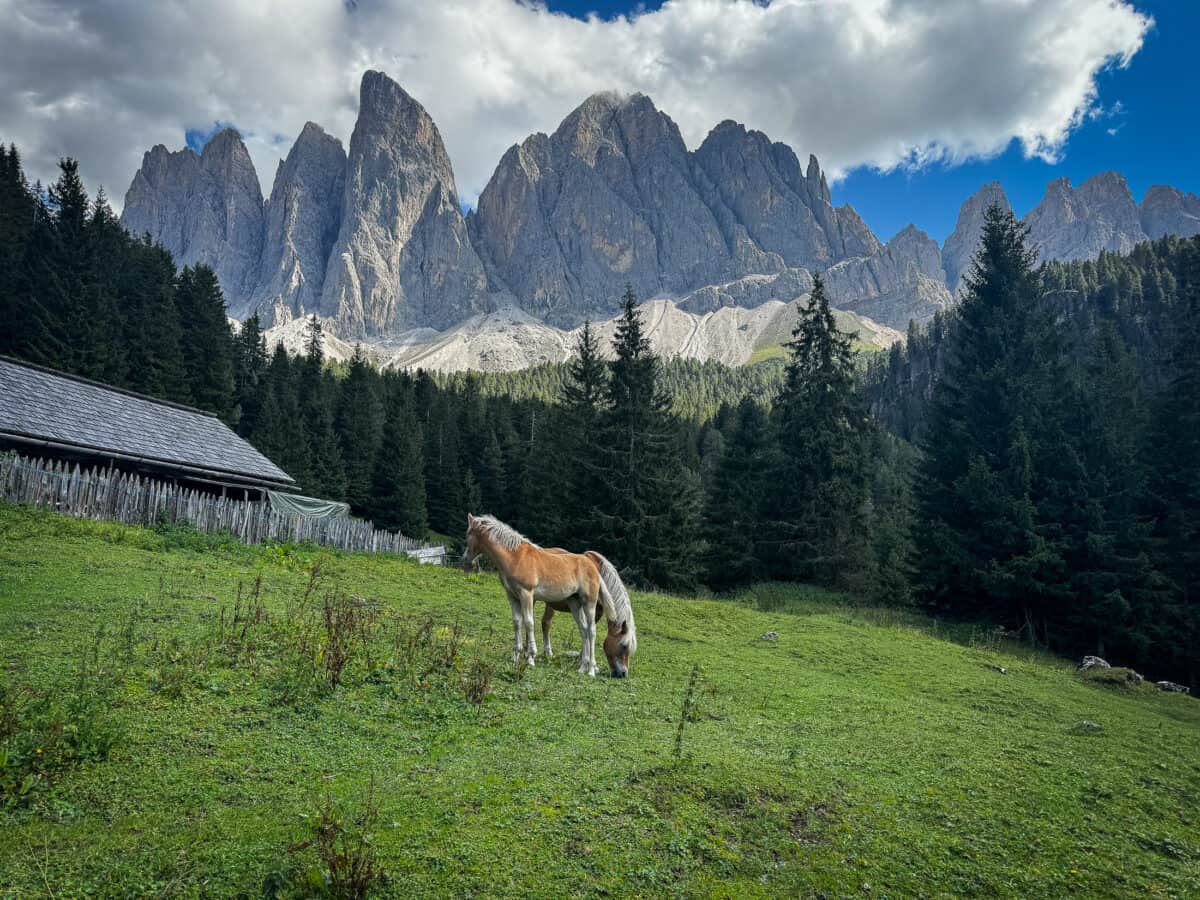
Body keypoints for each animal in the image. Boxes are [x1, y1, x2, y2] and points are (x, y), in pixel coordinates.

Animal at [463, 514, 637, 677]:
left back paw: (590, 670)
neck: (516, 556)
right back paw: (582, 667)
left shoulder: (526, 594)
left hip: (589, 603)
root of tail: (592, 565)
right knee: (583, 630)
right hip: (574, 603)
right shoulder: (512, 596)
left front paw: (531, 657)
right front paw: (515, 656)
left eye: (468, 533)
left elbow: (529, 622)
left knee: (591, 631)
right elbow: (517, 622)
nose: (465, 558)